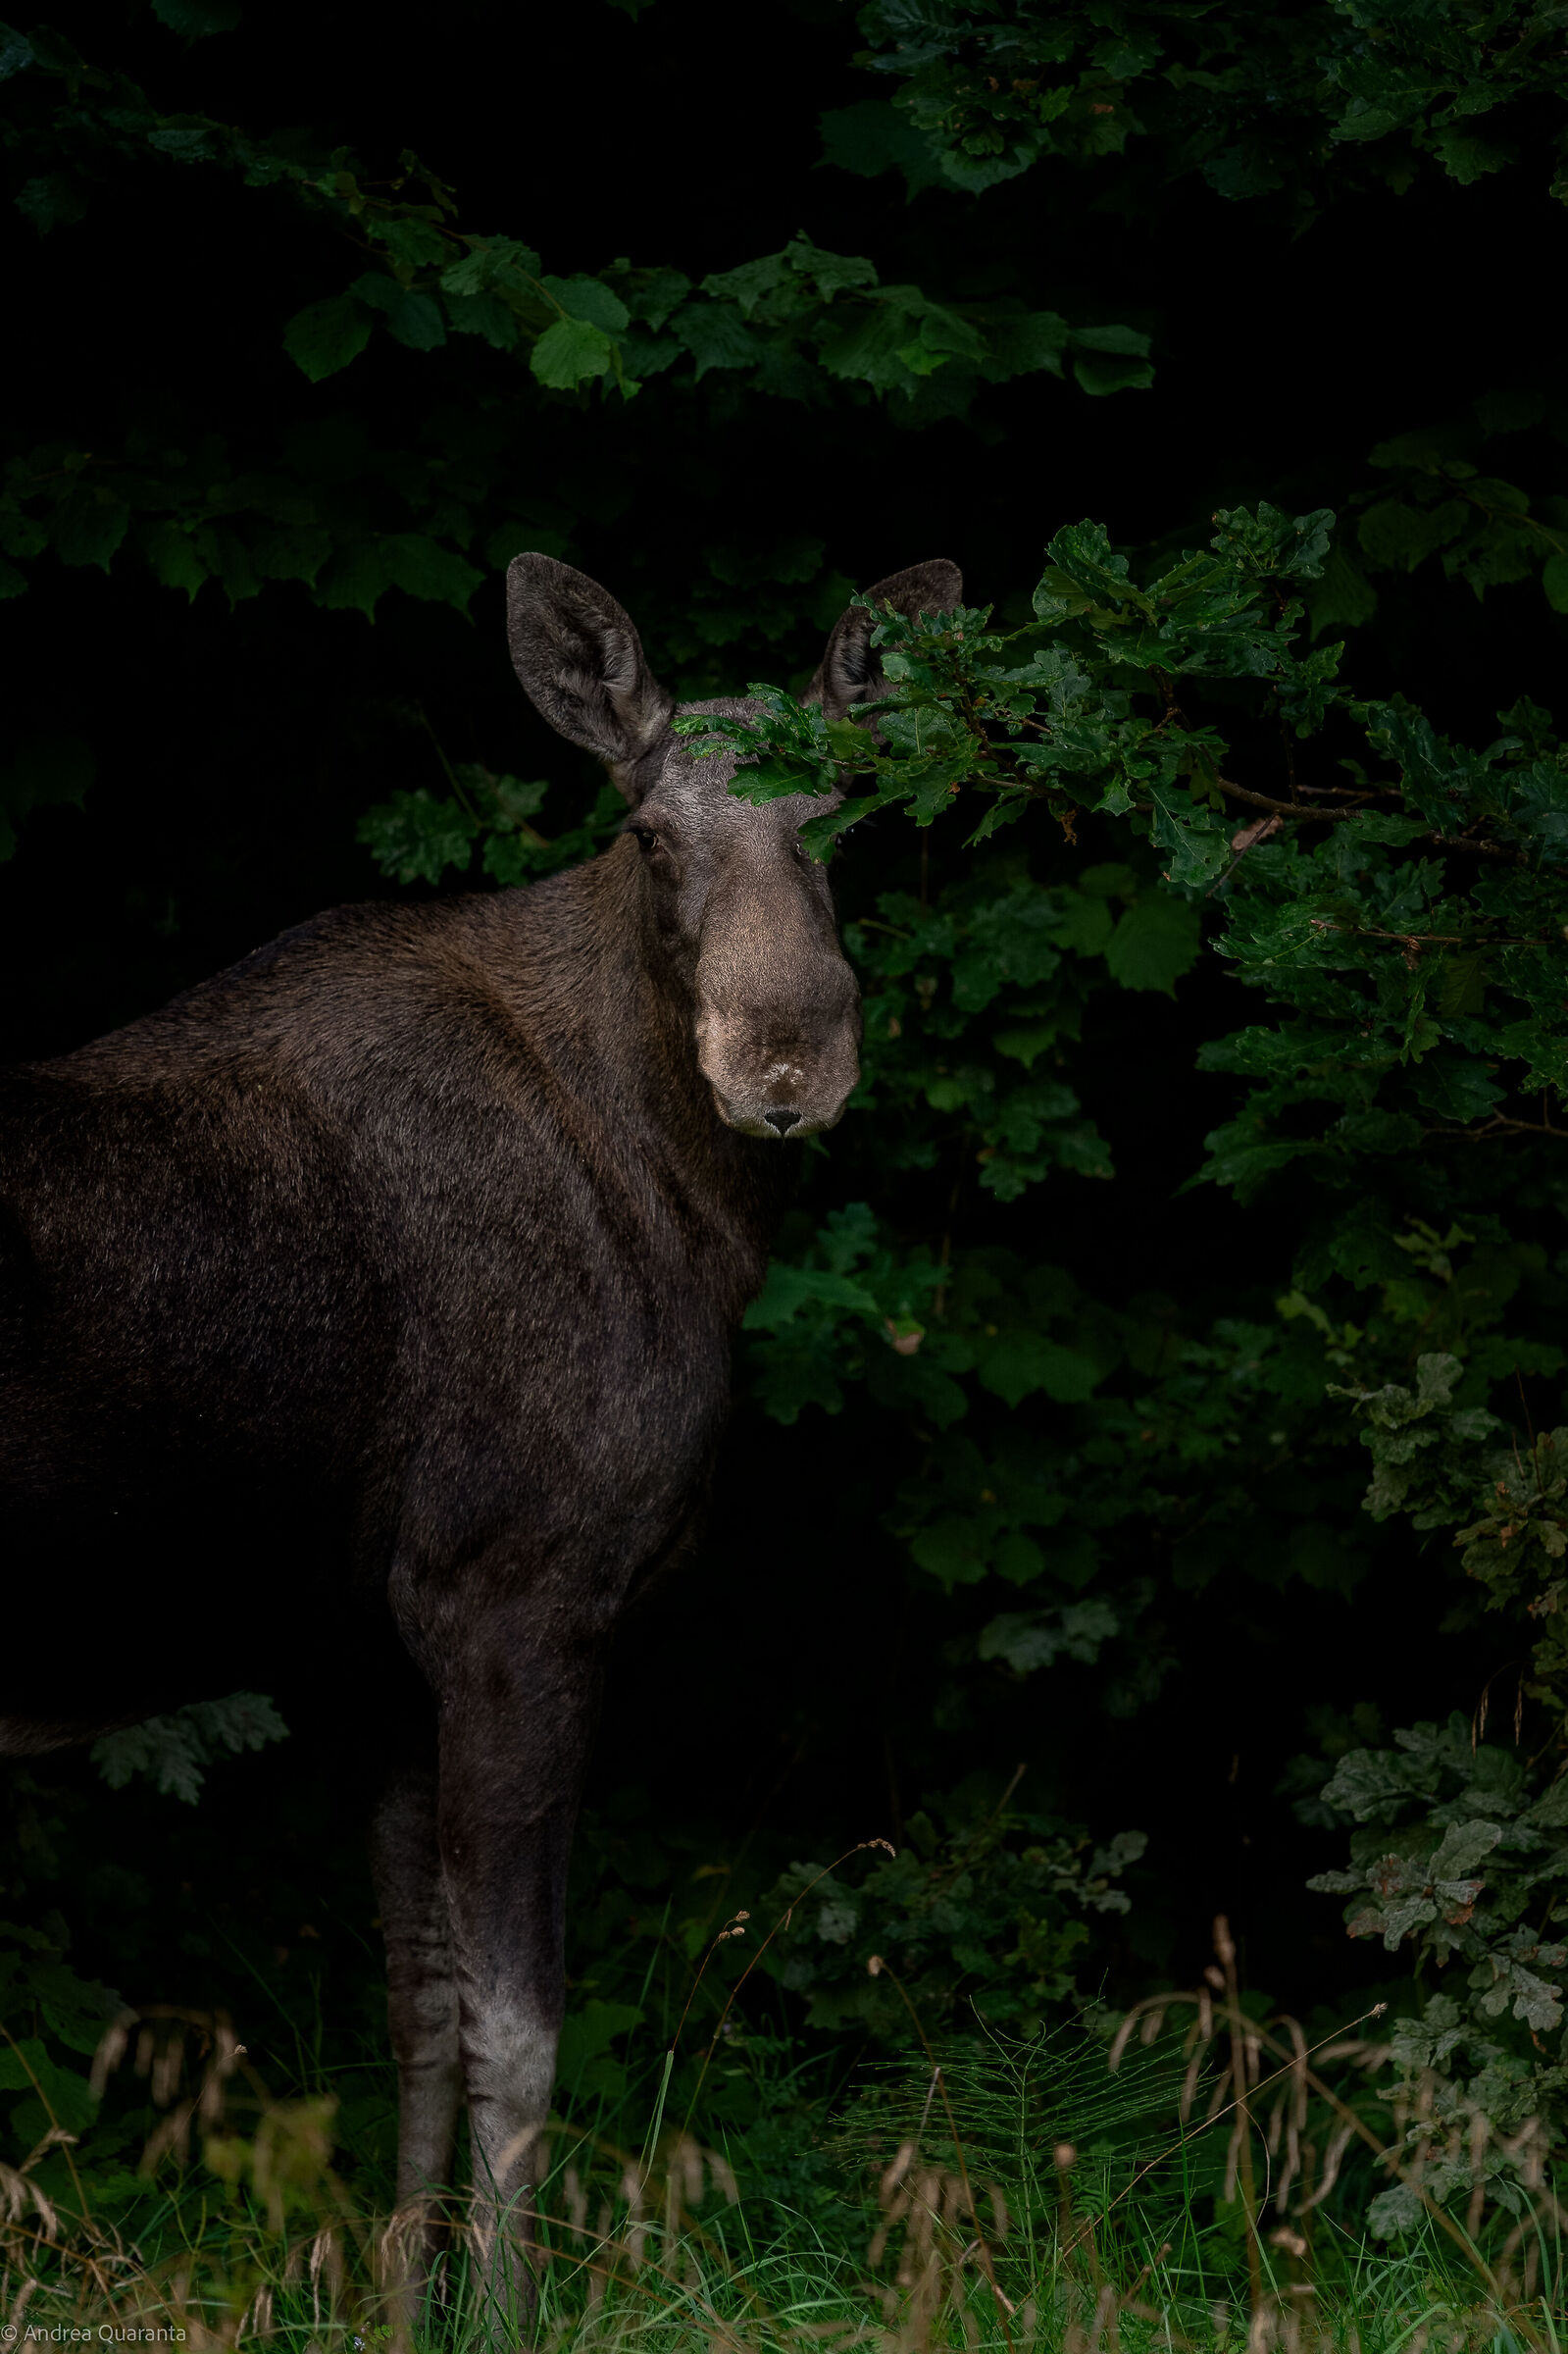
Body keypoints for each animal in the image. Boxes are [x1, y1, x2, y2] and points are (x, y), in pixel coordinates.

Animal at [0, 551, 962, 2315]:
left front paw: (398, 2309)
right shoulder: (517, 1597)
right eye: (648, 832)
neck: (692, 1212)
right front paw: (506, 2312)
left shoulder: (380, 1660)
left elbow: (418, 2016)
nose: (787, 1057)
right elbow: (521, 2029)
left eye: (841, 816)